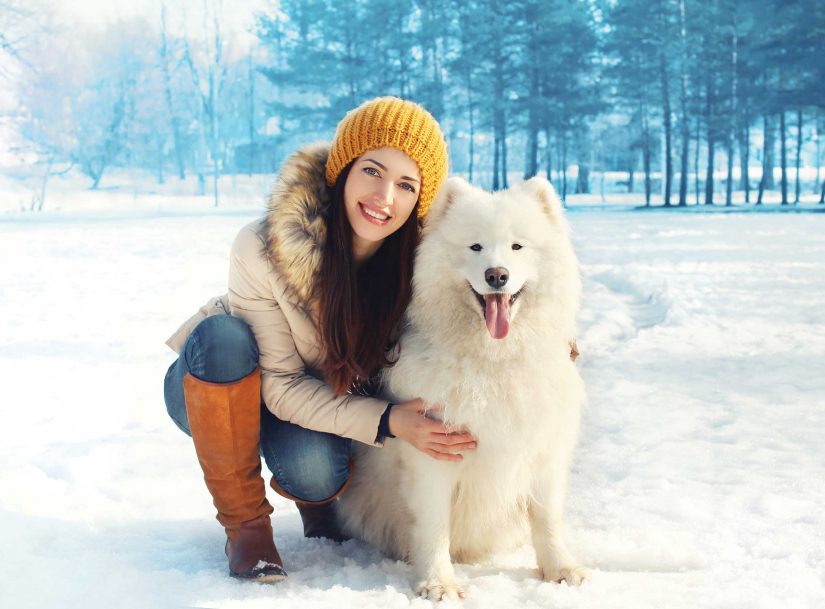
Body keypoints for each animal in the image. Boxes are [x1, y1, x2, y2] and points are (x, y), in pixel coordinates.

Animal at [334, 175, 584, 600]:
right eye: (475, 247)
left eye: (517, 246)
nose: (497, 275)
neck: (492, 362)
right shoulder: (433, 458)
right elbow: (434, 527)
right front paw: (438, 584)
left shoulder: (542, 450)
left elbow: (547, 517)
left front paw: (560, 569)